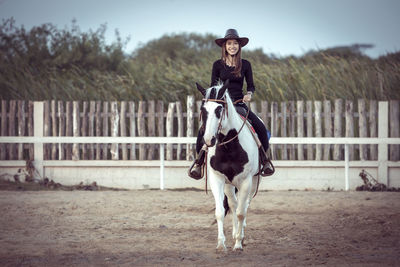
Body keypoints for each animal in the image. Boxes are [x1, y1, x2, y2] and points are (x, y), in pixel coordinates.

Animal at [198, 80, 260, 252]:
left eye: (219, 109)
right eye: (203, 110)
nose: (209, 140)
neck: (229, 147)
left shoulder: (246, 181)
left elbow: (241, 213)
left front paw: (238, 244)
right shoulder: (218, 179)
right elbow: (220, 212)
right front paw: (221, 244)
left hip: (253, 181)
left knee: (244, 206)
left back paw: (241, 235)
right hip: (229, 184)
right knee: (233, 204)